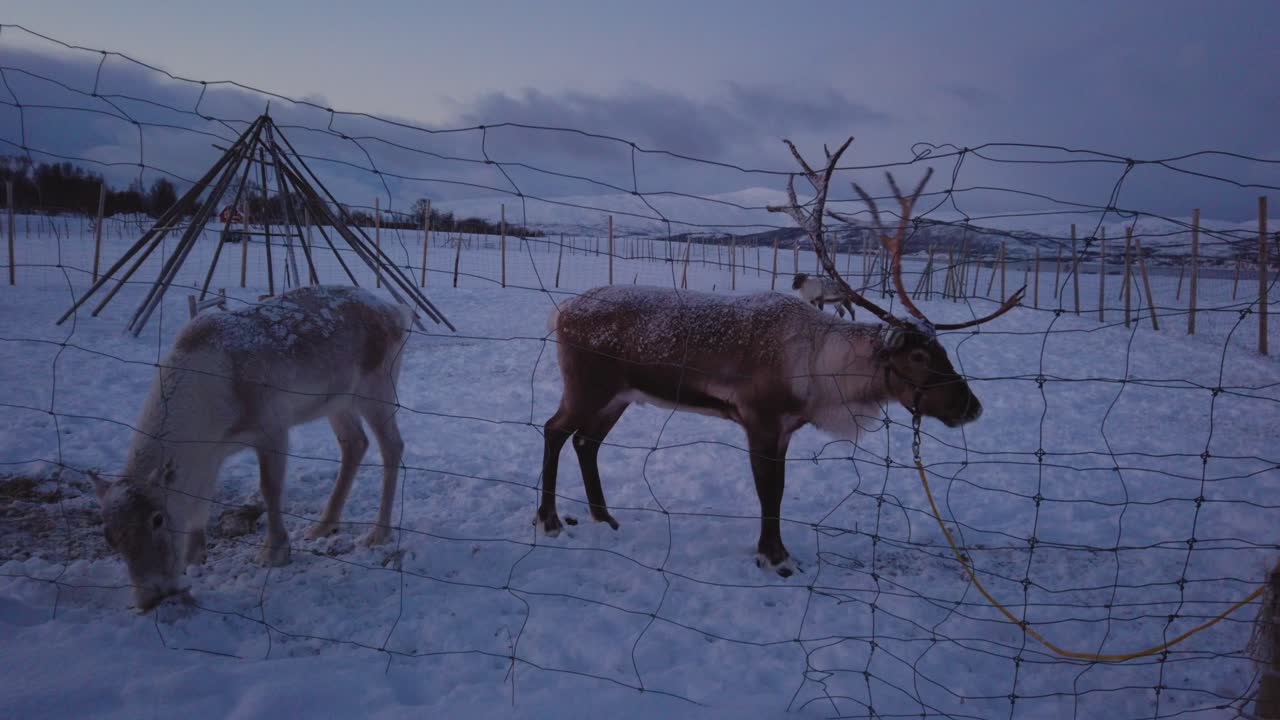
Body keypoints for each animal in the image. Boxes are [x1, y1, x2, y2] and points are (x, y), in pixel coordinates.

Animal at [88, 285, 415, 612]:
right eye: (108, 536)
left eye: (157, 518)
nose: (152, 597)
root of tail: (397, 311)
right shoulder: (212, 453)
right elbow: (202, 498)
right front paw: (195, 558)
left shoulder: (273, 427)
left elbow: (269, 488)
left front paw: (274, 552)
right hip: (336, 402)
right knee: (355, 442)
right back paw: (323, 525)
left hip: (377, 389)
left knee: (392, 445)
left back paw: (379, 532)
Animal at [537, 137, 1024, 577]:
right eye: (920, 356)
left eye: (943, 351)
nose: (972, 407)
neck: (821, 369)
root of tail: (561, 312)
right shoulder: (759, 418)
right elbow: (768, 491)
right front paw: (775, 557)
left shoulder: (787, 427)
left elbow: (781, 489)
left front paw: (774, 551)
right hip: (586, 386)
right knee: (555, 430)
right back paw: (550, 520)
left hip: (620, 394)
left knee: (586, 442)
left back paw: (605, 518)